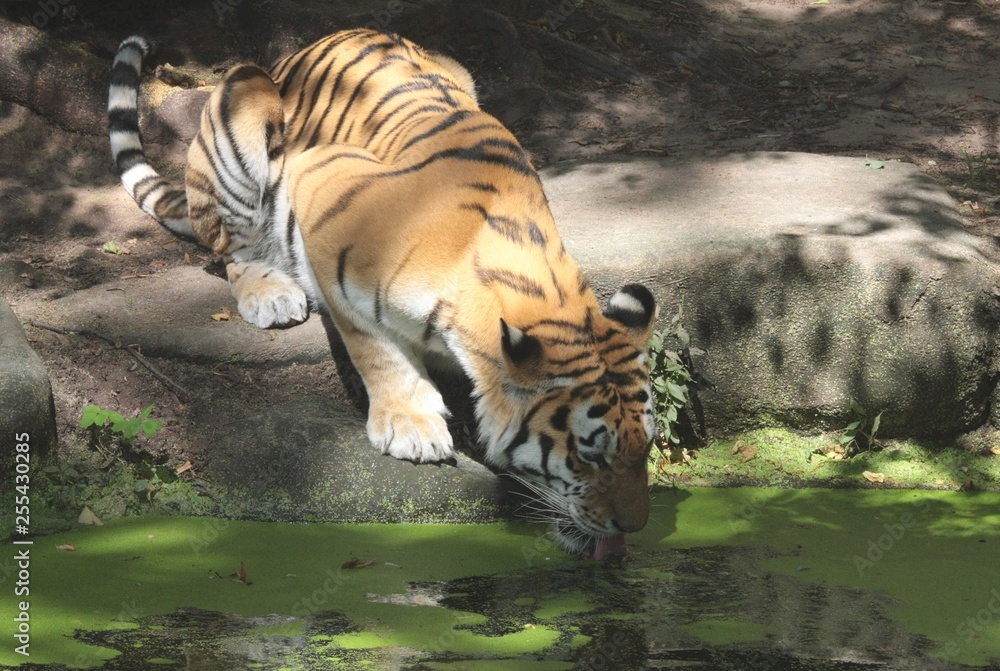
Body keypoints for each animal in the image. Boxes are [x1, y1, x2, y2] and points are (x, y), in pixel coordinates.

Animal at [108, 29, 658, 559]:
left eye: (646, 448)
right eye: (590, 455)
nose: (635, 527)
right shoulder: (323, 190)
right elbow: (372, 344)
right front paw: (412, 426)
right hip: (244, 96)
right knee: (233, 249)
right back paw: (271, 293)